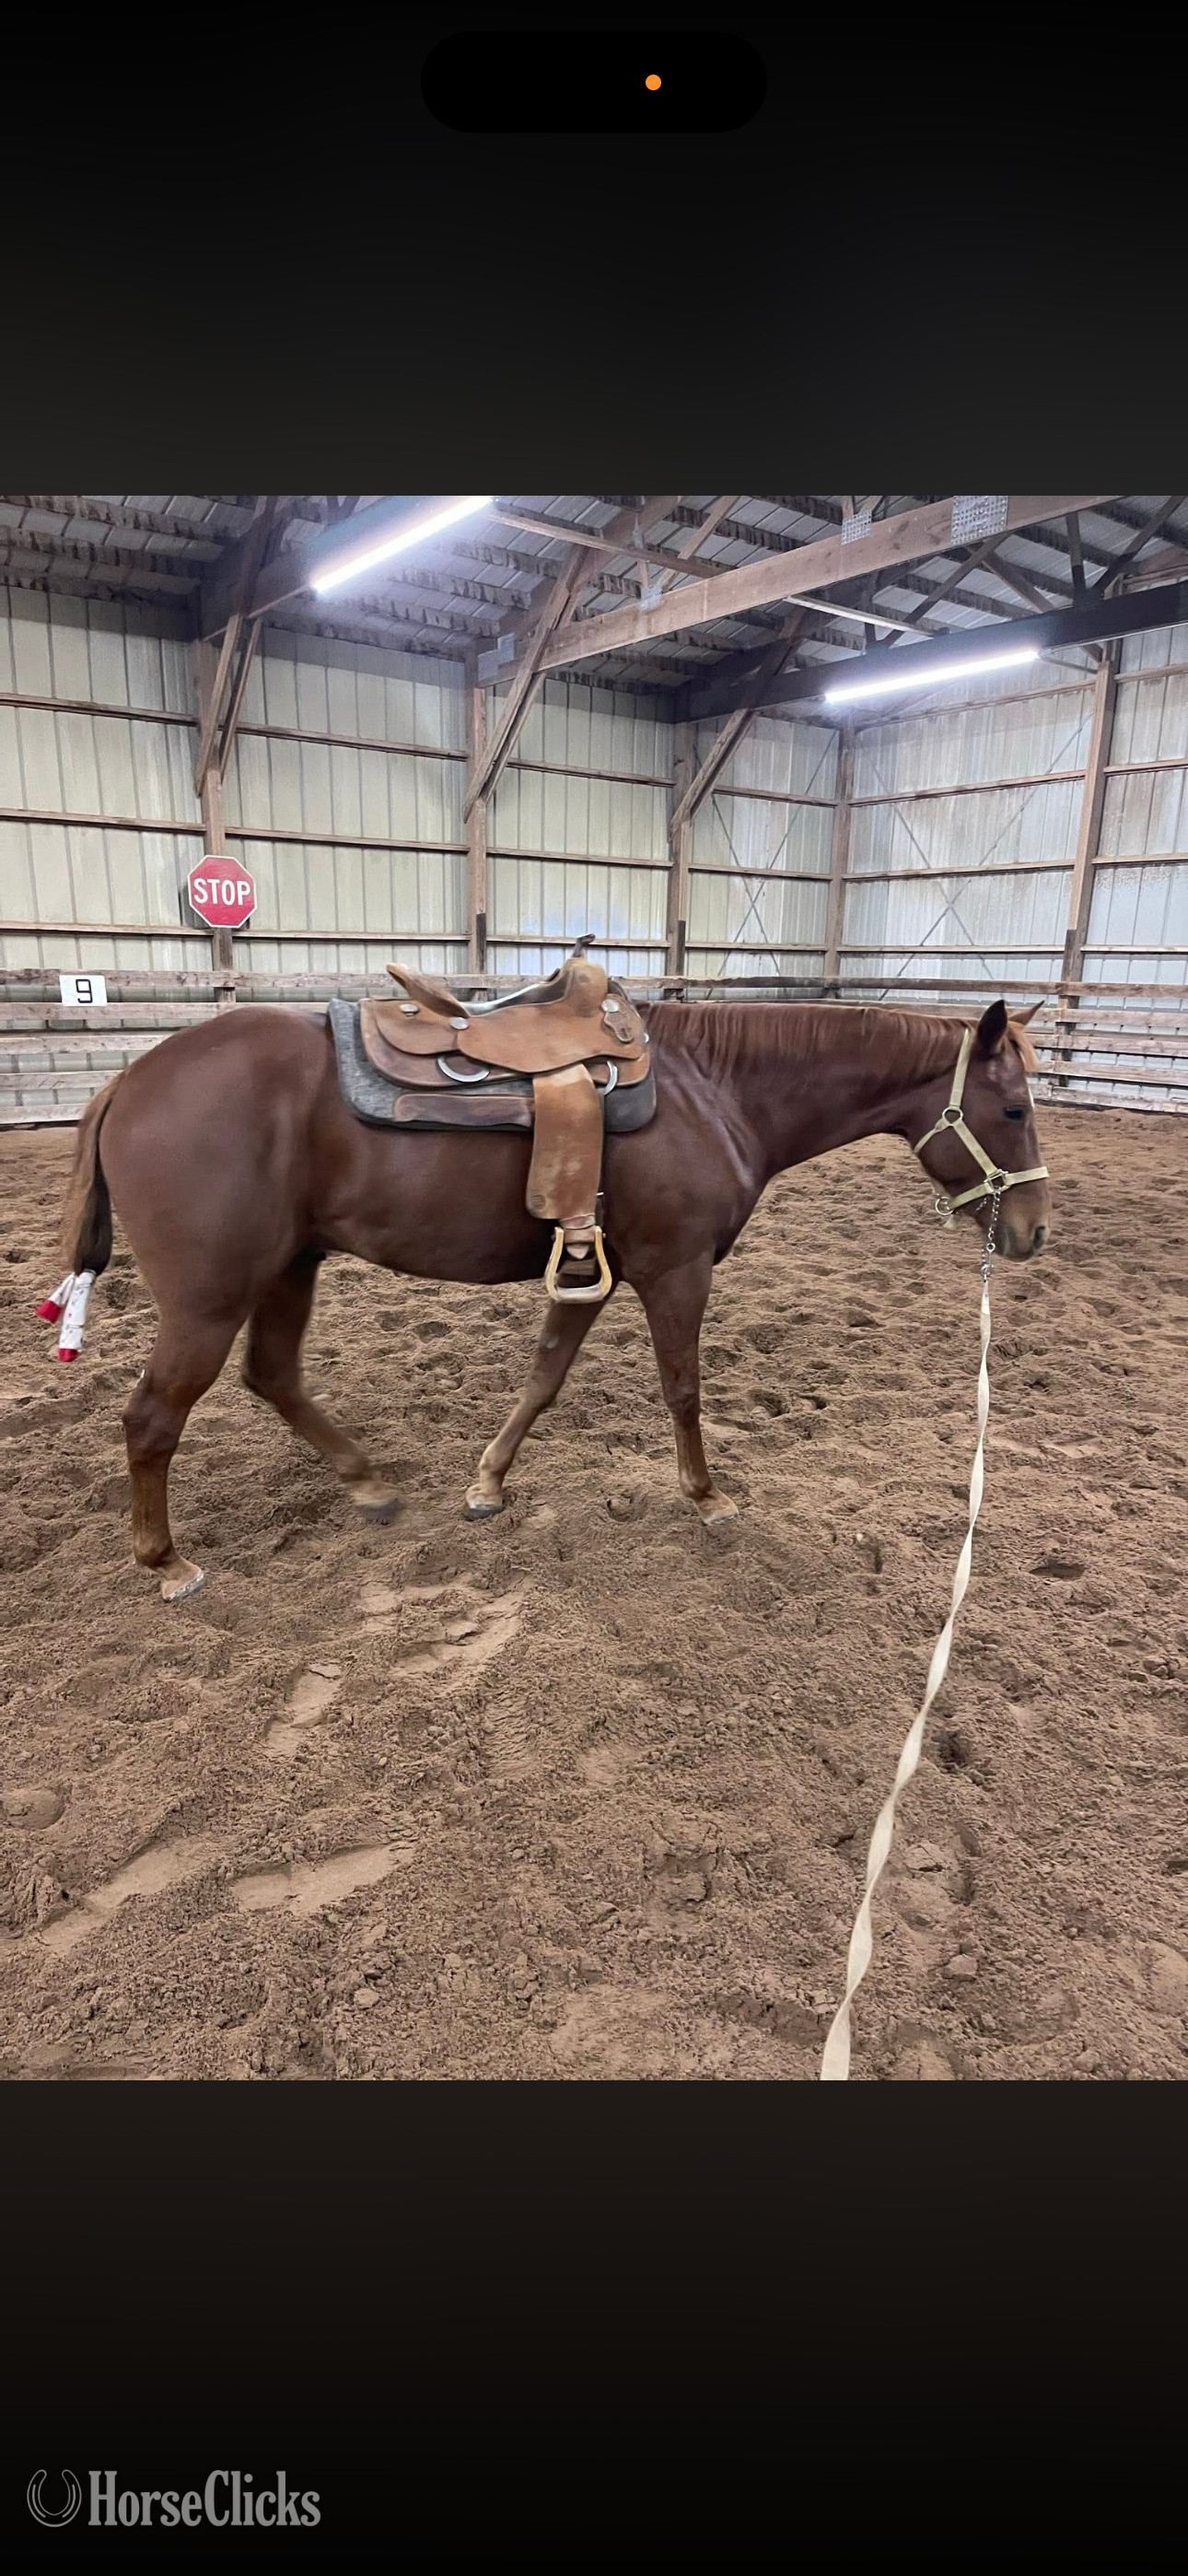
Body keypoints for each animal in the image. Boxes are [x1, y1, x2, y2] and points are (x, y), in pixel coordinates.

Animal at [54, 993, 1050, 1601]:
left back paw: (367, 1482)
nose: (1033, 1232)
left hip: (289, 1268)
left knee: (273, 1377)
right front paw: (707, 1498)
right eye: (1013, 1109)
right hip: (208, 1300)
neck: (713, 1092)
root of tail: (128, 1081)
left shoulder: (586, 1272)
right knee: (152, 1418)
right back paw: (166, 1560)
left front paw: (488, 1483)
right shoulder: (677, 1271)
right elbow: (683, 1389)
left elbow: (542, 1380)